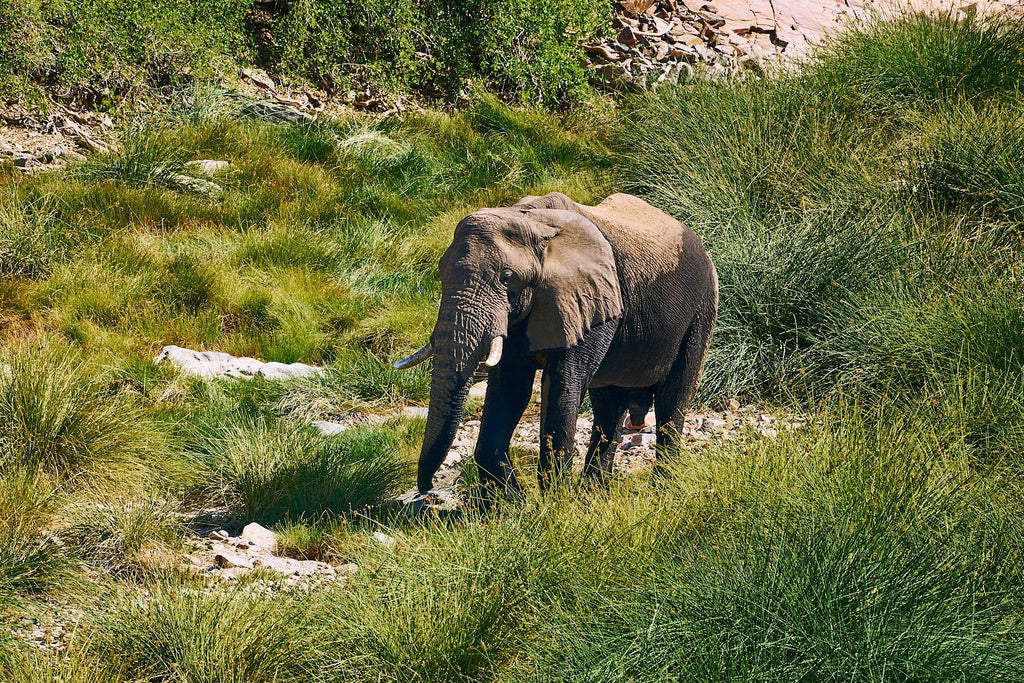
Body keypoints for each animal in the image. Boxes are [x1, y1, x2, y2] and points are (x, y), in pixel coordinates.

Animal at [395, 192, 717, 498]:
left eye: (507, 277)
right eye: (441, 272)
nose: (426, 487)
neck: (531, 220)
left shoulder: (587, 298)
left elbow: (562, 387)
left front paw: (555, 503)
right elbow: (510, 389)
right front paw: (516, 505)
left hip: (702, 307)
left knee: (672, 398)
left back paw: (663, 488)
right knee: (609, 406)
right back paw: (593, 493)